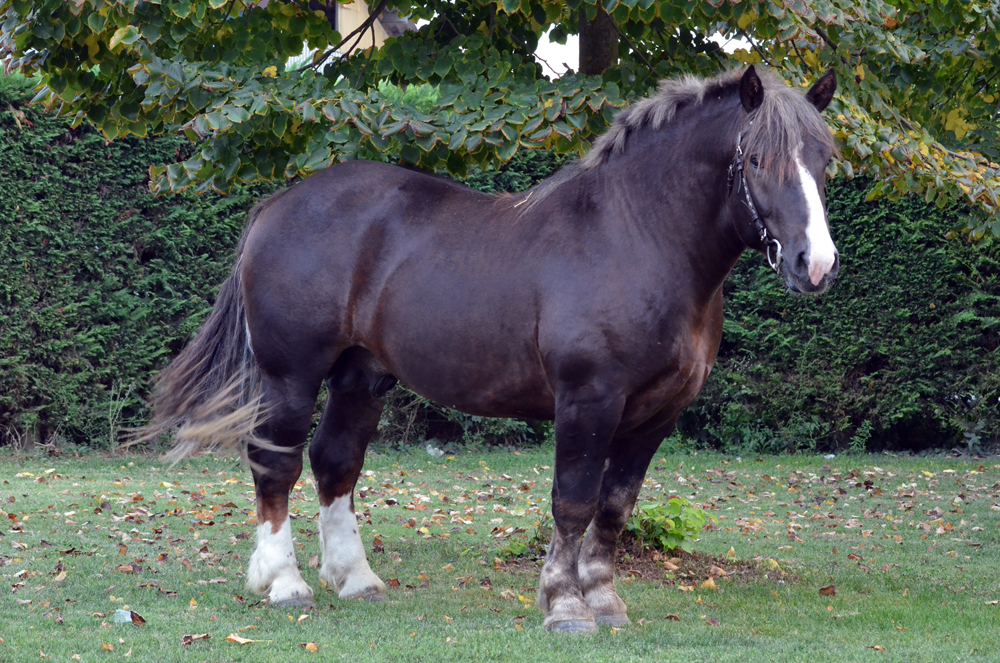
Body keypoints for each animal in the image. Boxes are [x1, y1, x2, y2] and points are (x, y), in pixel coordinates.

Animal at [145, 66, 840, 632]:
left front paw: (606, 602)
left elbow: (615, 508)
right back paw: (284, 583)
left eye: (824, 160)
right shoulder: (588, 400)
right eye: (758, 161)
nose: (816, 265)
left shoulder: (656, 416)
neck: (636, 237)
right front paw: (564, 606)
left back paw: (356, 579)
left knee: (334, 461)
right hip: (290, 375)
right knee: (275, 462)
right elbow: (573, 501)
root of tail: (277, 204)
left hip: (360, 377)